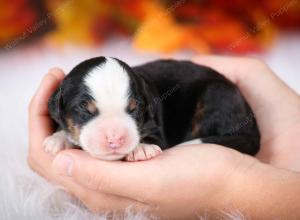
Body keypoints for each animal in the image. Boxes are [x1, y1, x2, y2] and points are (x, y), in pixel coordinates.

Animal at [42, 55, 260, 161]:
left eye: (135, 108)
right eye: (84, 108)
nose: (115, 139)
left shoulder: (157, 127)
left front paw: (142, 148)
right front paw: (58, 139)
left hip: (216, 94)